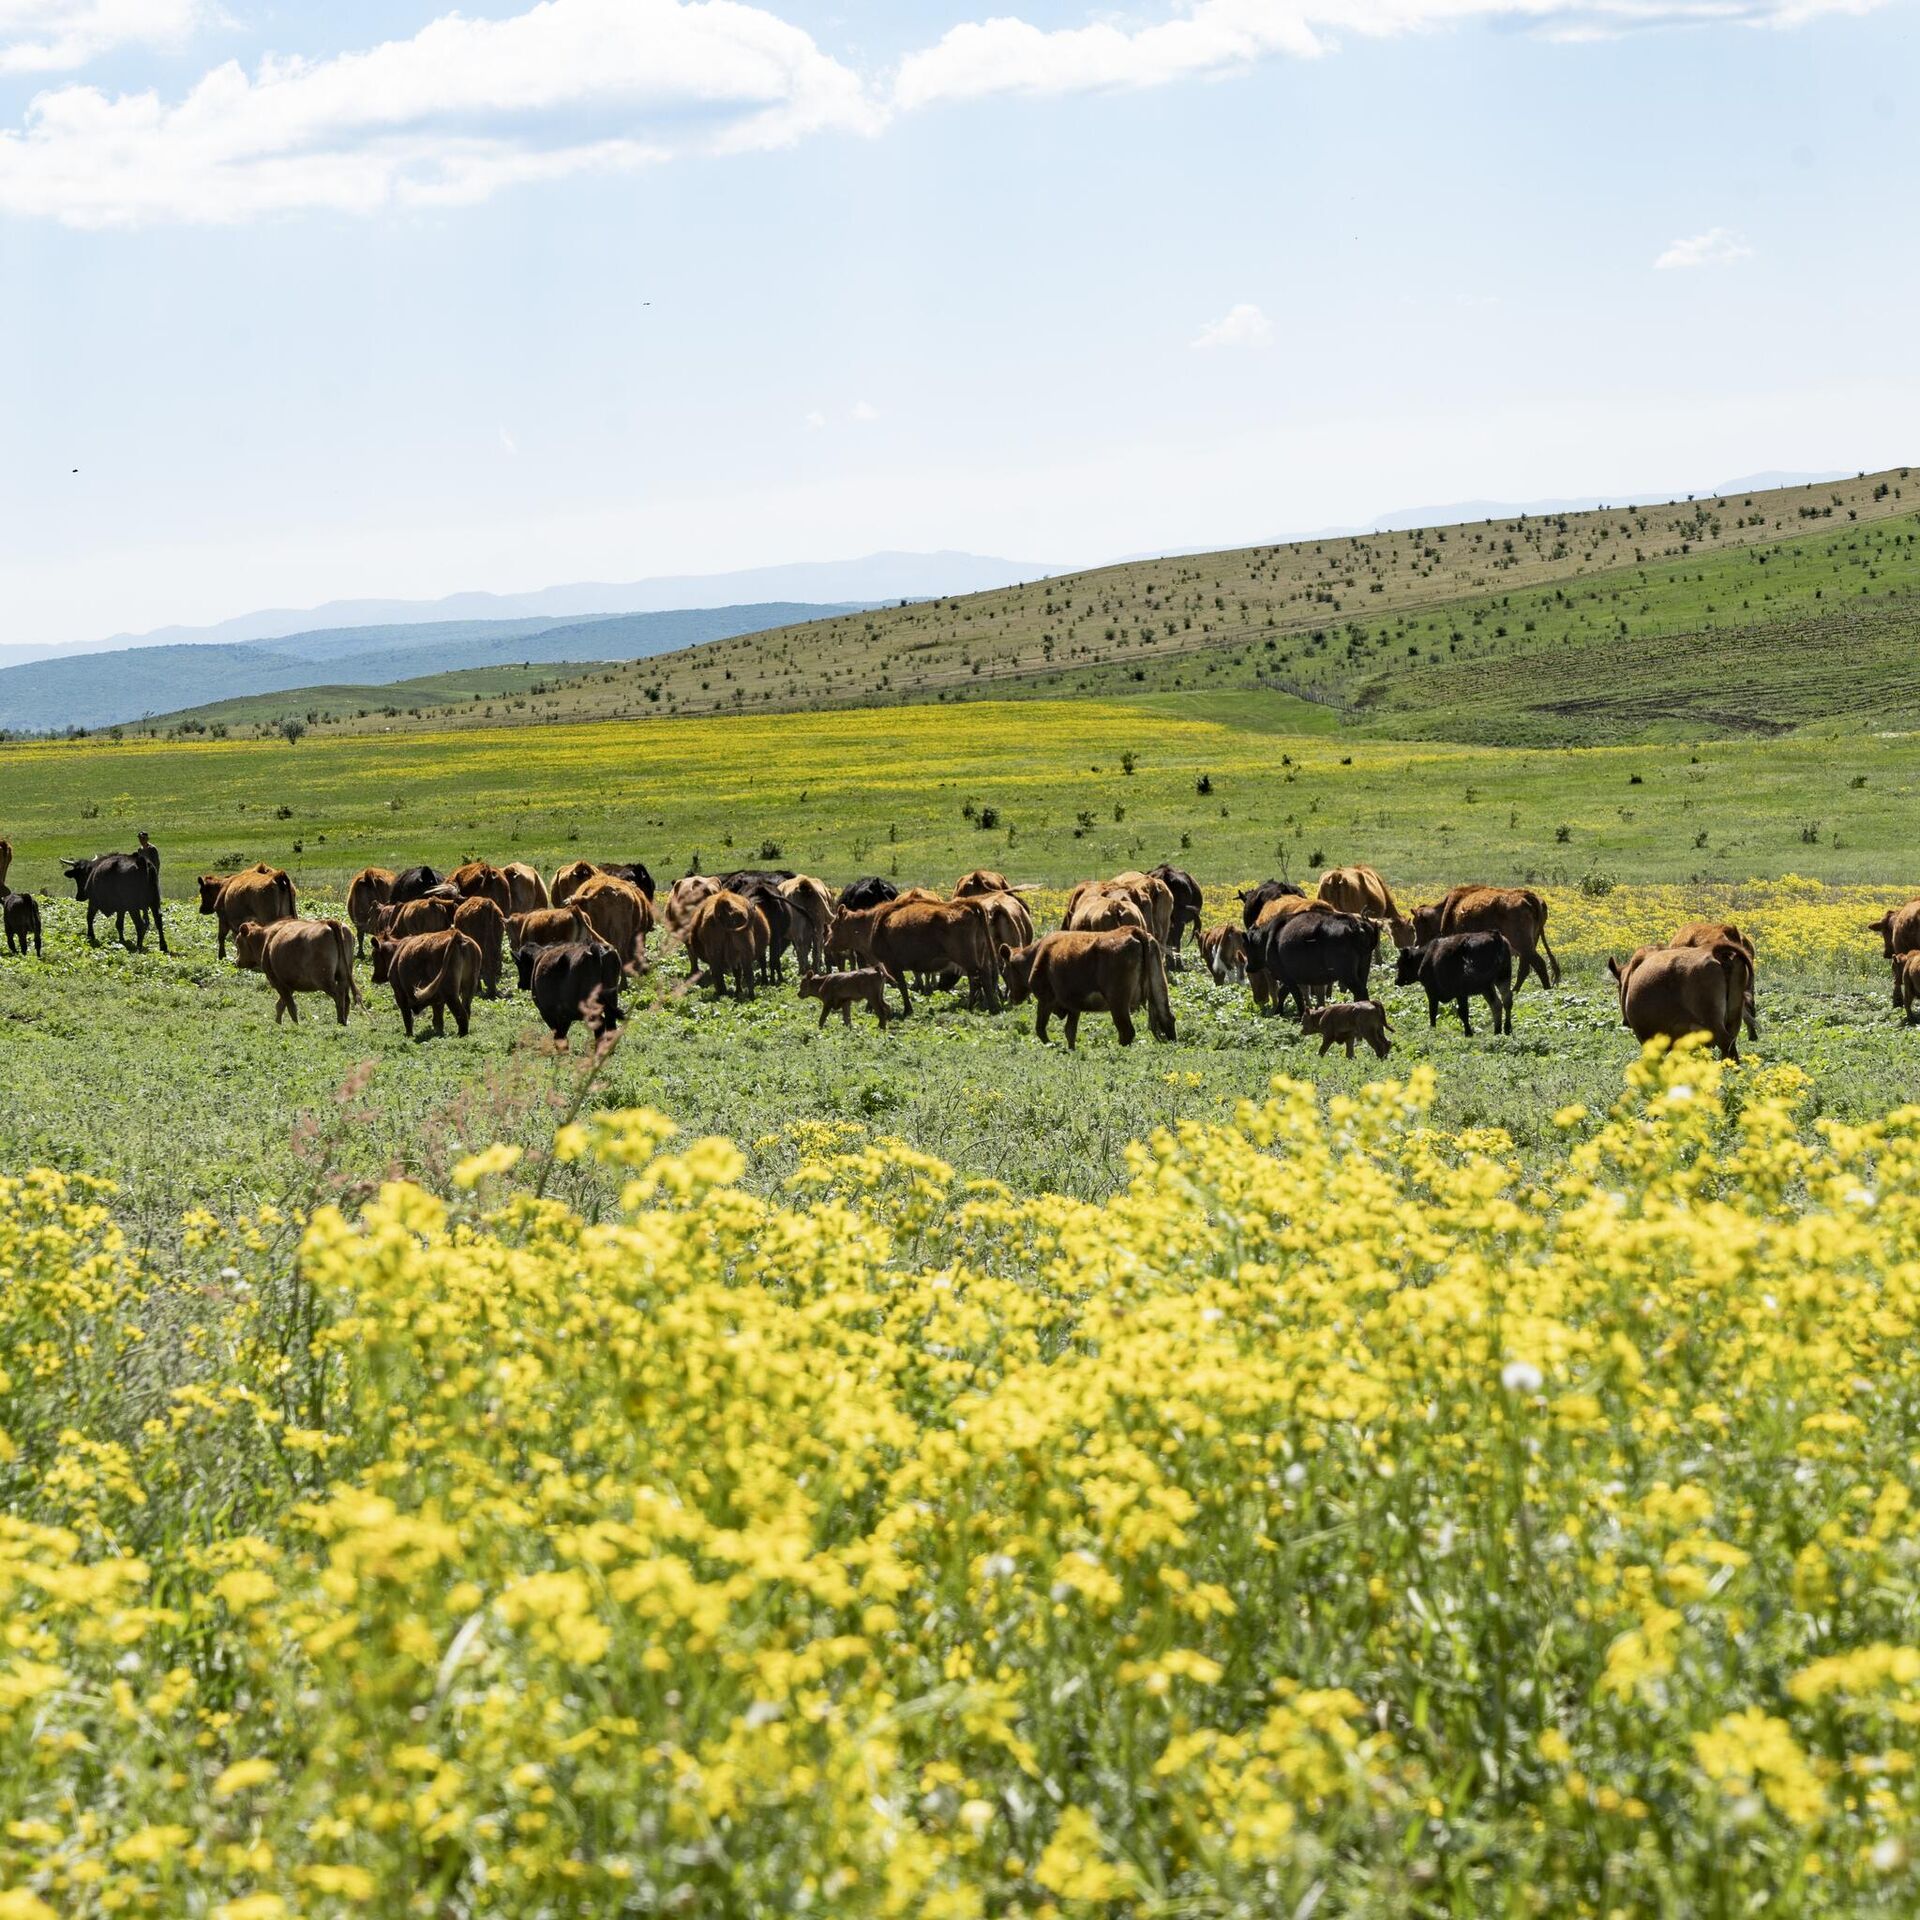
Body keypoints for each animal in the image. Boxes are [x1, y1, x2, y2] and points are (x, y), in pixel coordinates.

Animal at [829, 898, 1006, 1021]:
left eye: (834, 926)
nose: (826, 943)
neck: (872, 923)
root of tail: (966, 904)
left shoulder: (892, 965)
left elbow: (901, 987)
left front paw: (907, 1009)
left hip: (966, 958)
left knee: (976, 977)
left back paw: (977, 1006)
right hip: (980, 956)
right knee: (983, 976)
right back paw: (988, 1006)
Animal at [998, 929, 1175, 1052]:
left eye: (1004, 972)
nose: (1011, 998)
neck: (1036, 956)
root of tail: (1132, 930)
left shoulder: (1046, 999)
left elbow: (1040, 1029)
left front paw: (1053, 1046)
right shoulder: (1073, 1004)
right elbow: (1070, 1031)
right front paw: (1071, 1050)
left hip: (1118, 1001)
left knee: (1127, 1031)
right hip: (1158, 987)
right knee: (1167, 1018)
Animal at [1413, 883, 1559, 990]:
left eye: (1417, 924)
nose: (1416, 943)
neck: (1447, 909)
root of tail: (1527, 895)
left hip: (1522, 943)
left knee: (1538, 964)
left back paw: (1545, 989)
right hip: (1530, 943)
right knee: (1525, 967)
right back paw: (1515, 991)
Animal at [1612, 944, 1751, 1067]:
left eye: (1619, 987)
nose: (1624, 1022)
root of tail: (1713, 951)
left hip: (1713, 1021)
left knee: (1725, 1042)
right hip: (1734, 1017)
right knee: (1732, 1041)